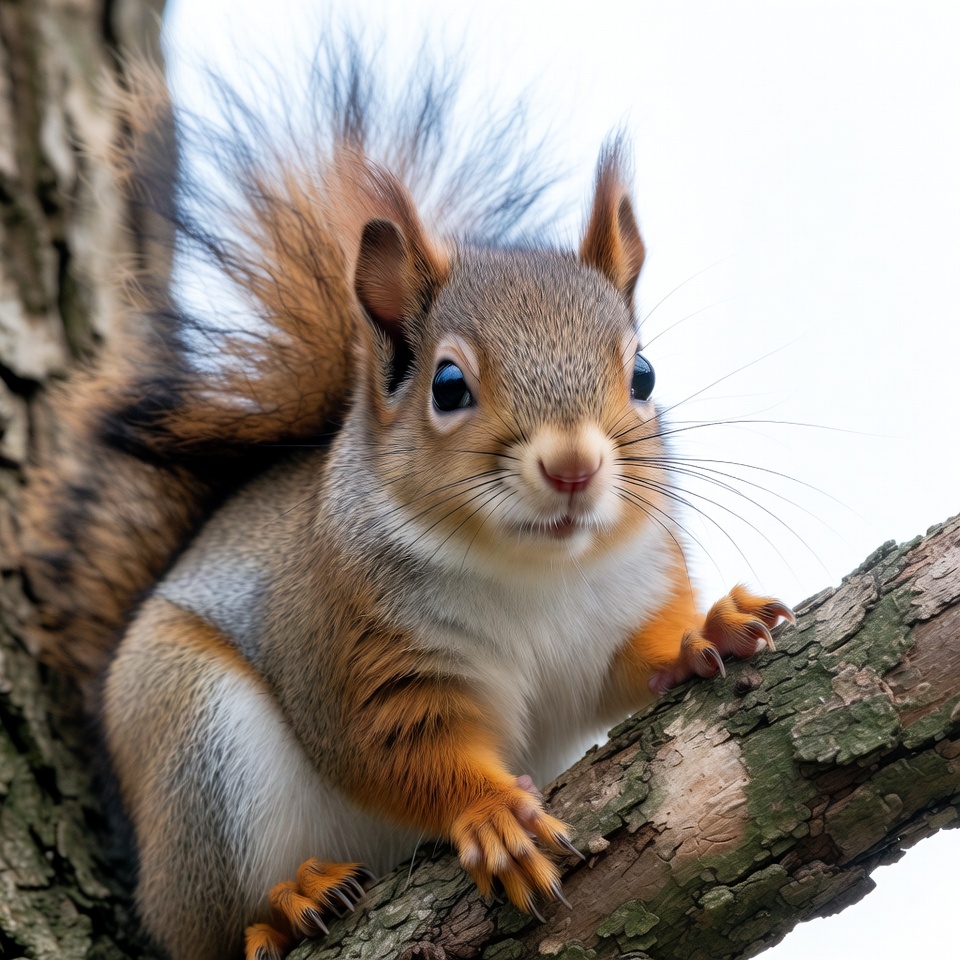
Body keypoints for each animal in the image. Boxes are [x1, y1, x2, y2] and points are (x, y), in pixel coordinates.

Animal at [19, 47, 794, 960]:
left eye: (642, 374)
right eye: (448, 386)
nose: (573, 466)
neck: (535, 571)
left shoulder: (620, 607)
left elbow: (627, 667)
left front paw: (706, 628)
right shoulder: (354, 655)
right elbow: (400, 755)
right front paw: (493, 815)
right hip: (195, 750)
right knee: (203, 926)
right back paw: (287, 903)